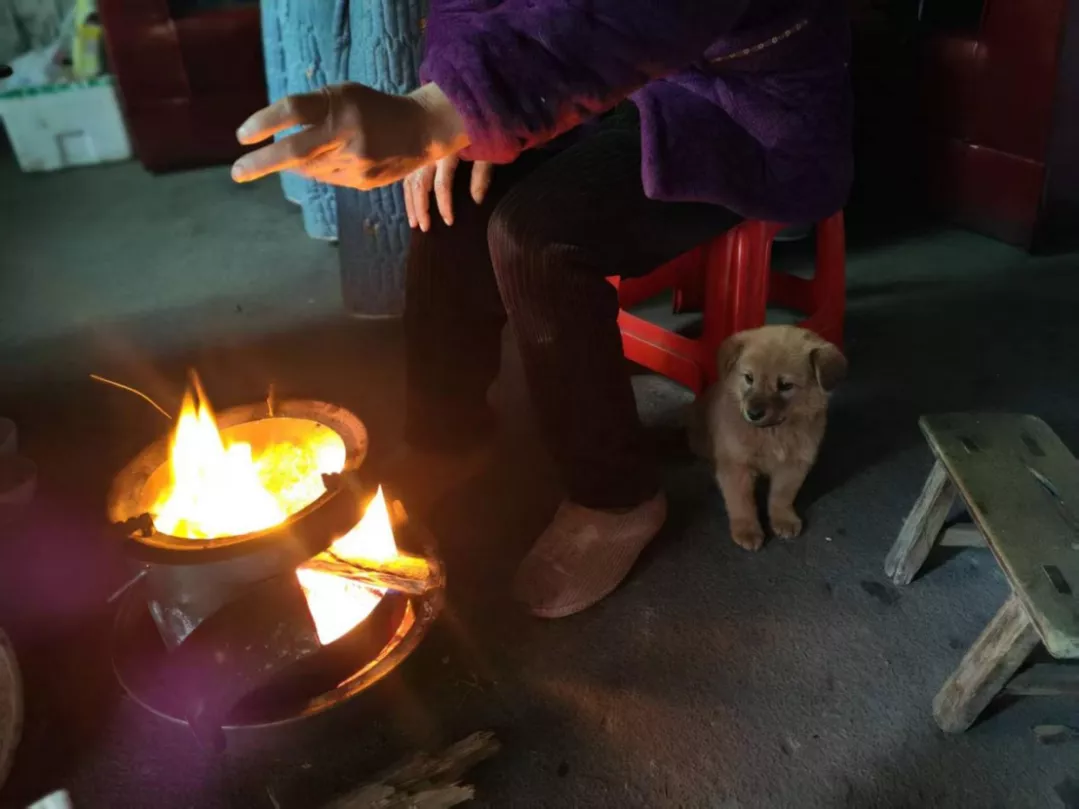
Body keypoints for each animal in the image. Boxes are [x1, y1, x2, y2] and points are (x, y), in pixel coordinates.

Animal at [696, 325, 847, 551]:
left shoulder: (794, 464)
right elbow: (741, 501)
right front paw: (747, 530)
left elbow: (782, 495)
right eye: (749, 378)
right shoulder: (736, 465)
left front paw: (783, 519)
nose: (753, 413)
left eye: (785, 385)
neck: (772, 433)